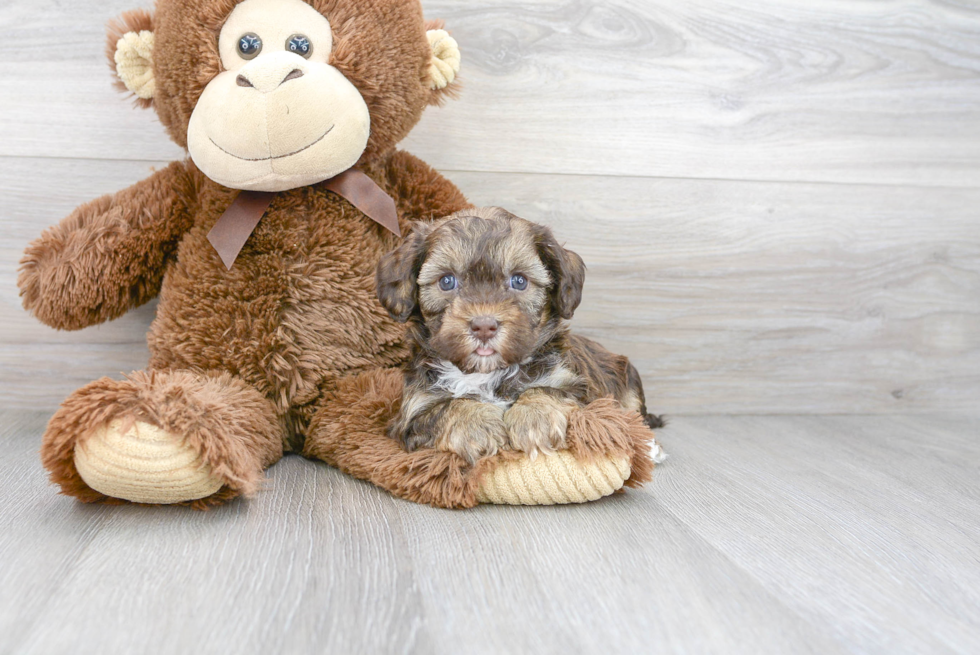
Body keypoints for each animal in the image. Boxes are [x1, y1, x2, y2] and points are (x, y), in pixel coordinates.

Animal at [378, 208, 664, 464]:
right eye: (447, 281)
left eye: (519, 281)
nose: (484, 326)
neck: (486, 373)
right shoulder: (412, 413)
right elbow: (446, 407)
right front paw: (478, 424)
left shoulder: (582, 390)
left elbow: (547, 390)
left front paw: (536, 417)